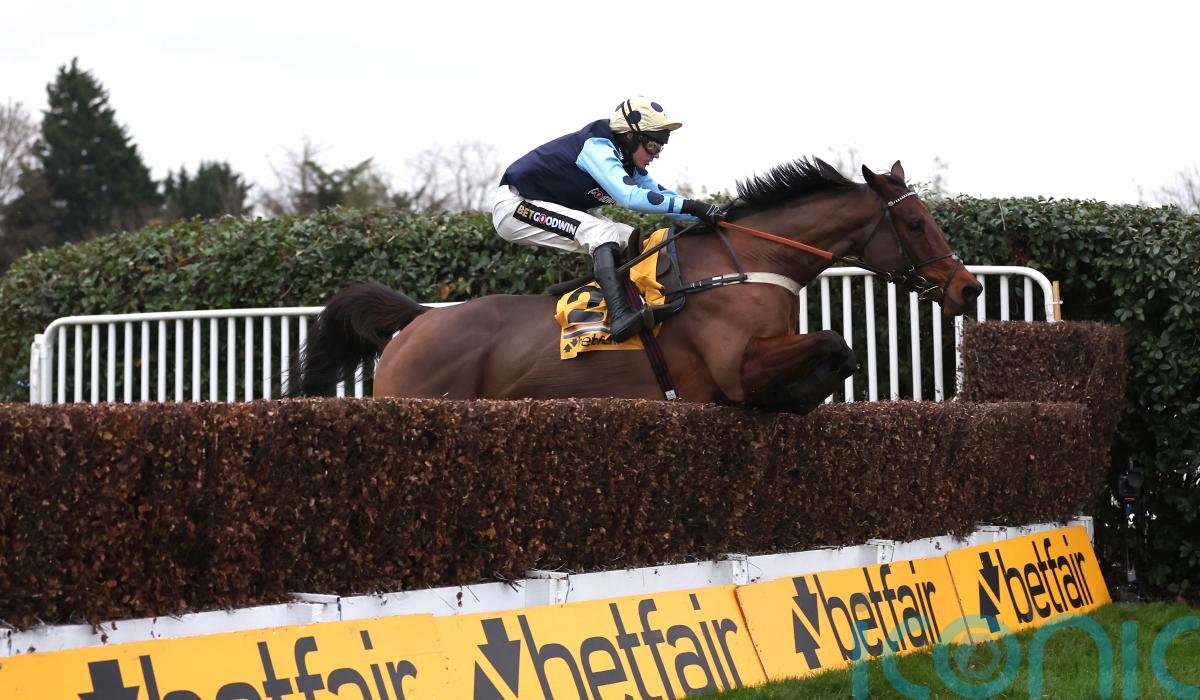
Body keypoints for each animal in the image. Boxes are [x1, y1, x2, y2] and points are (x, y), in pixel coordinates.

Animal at [296, 159, 982, 413]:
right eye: (916, 224)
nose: (968, 289)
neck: (747, 260)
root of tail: (418, 320)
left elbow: (842, 353)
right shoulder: (734, 363)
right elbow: (838, 344)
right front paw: (786, 398)